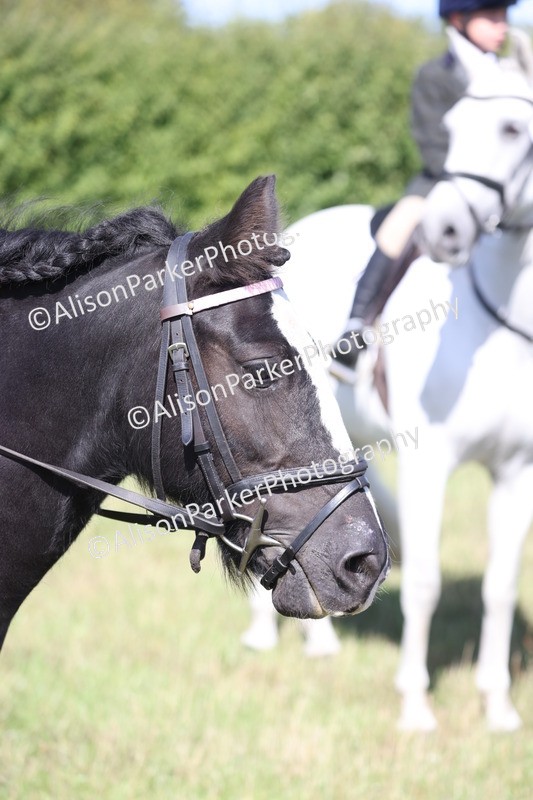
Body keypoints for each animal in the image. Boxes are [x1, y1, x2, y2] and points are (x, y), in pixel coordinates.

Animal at [243, 72, 533, 730]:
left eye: (513, 128)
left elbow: (501, 587)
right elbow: (424, 582)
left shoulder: (518, 472)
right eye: (449, 128)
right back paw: (264, 635)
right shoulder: (431, 463)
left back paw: (320, 642)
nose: (444, 231)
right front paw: (416, 705)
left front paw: (498, 706)